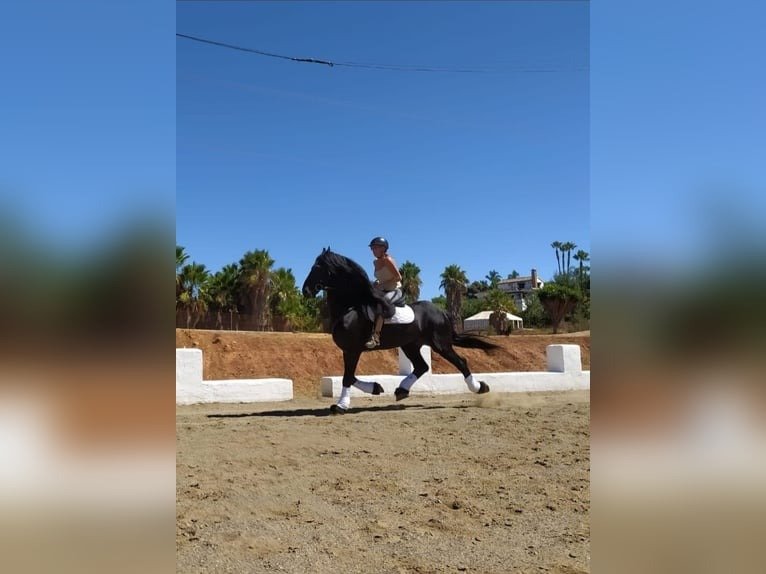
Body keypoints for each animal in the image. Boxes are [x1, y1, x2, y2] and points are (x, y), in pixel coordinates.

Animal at [301, 247, 498, 414]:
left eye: (317, 267)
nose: (305, 291)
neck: (349, 307)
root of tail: (441, 311)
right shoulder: (349, 351)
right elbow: (351, 376)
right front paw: (375, 388)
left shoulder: (353, 350)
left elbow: (348, 377)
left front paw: (341, 406)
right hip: (410, 345)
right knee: (421, 366)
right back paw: (402, 390)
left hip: (440, 344)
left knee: (460, 362)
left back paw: (480, 388)